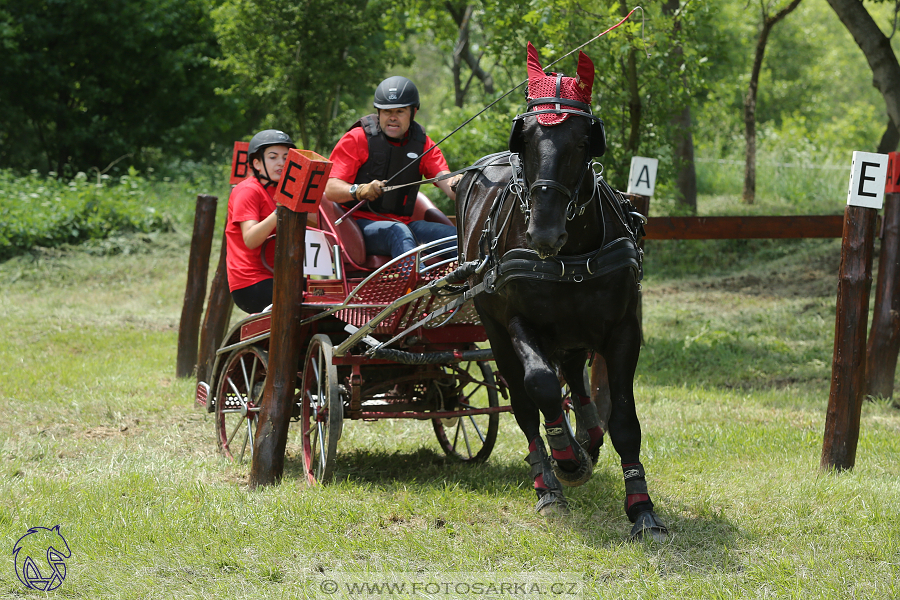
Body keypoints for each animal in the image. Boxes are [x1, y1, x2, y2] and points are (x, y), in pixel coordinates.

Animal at [458, 42, 668, 540]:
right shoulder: (517, 321)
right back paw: (549, 480)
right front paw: (566, 460)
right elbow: (541, 387)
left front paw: (641, 507)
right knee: (526, 401)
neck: (568, 253)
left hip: (576, 331)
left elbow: (623, 418)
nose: (544, 232)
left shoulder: (624, 328)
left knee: (575, 376)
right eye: (527, 140)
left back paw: (587, 437)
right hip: (496, 330)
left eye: (581, 142)